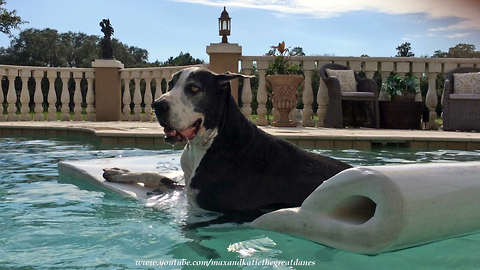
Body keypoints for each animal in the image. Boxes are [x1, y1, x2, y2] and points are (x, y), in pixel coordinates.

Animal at [104, 66, 352, 218]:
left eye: (194, 88)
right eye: (171, 84)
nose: (157, 105)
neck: (212, 140)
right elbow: (155, 175)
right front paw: (120, 172)